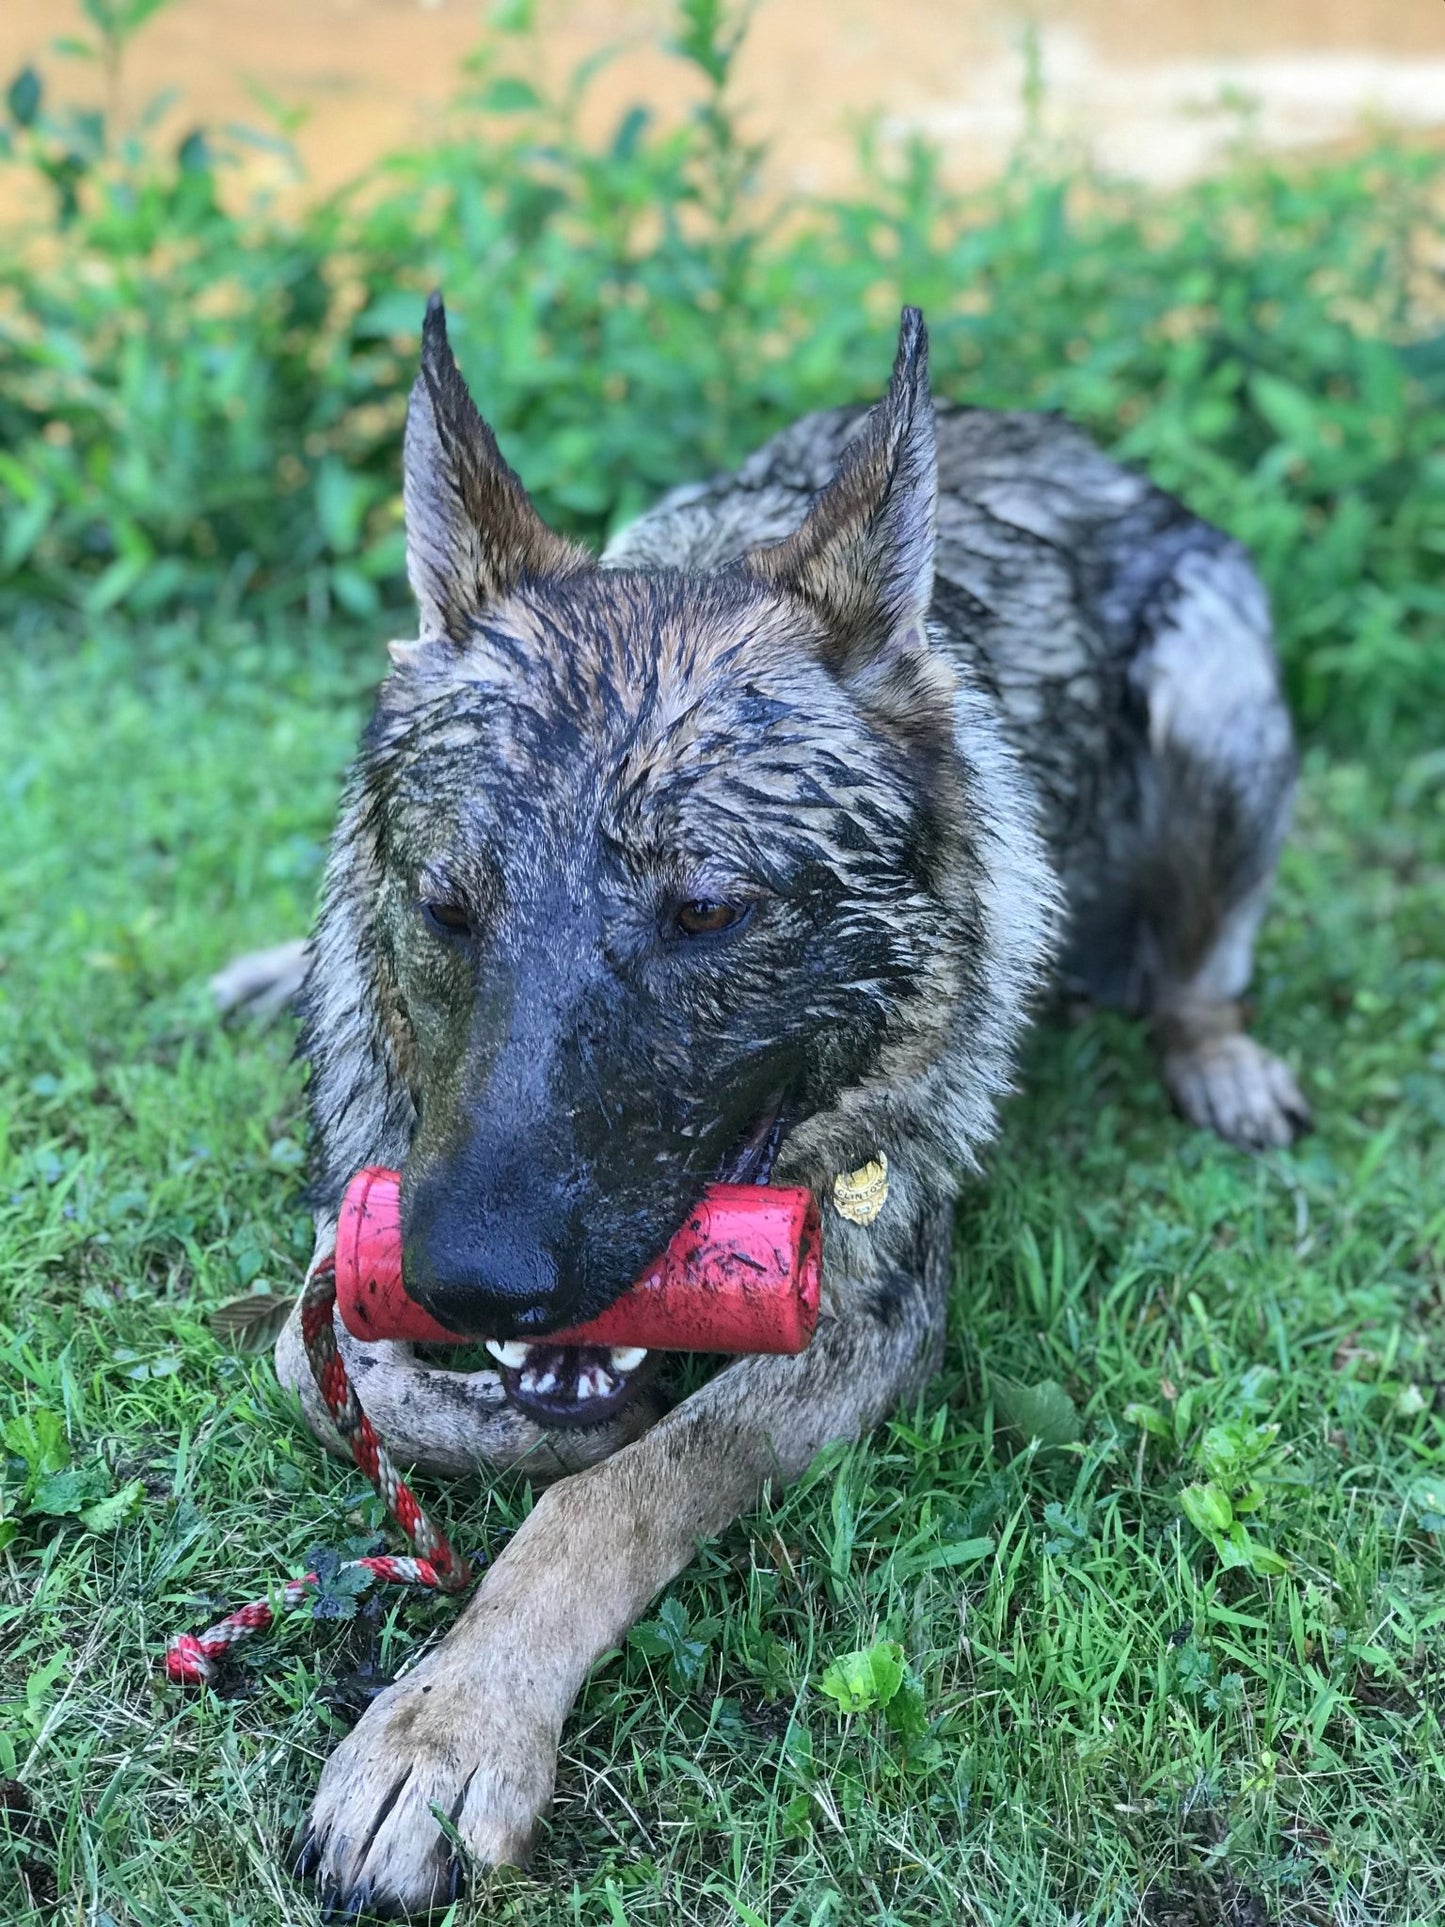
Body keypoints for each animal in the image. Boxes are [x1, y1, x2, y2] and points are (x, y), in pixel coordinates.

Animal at [237, 300, 1310, 1911]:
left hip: (1213, 690)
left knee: (1201, 970)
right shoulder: (365, 1214)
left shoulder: (864, 1326)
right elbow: (328, 1376)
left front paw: (452, 1724)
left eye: (709, 912)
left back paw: (1215, 1054)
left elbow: (617, 1492)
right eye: (446, 908)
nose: (471, 1274)